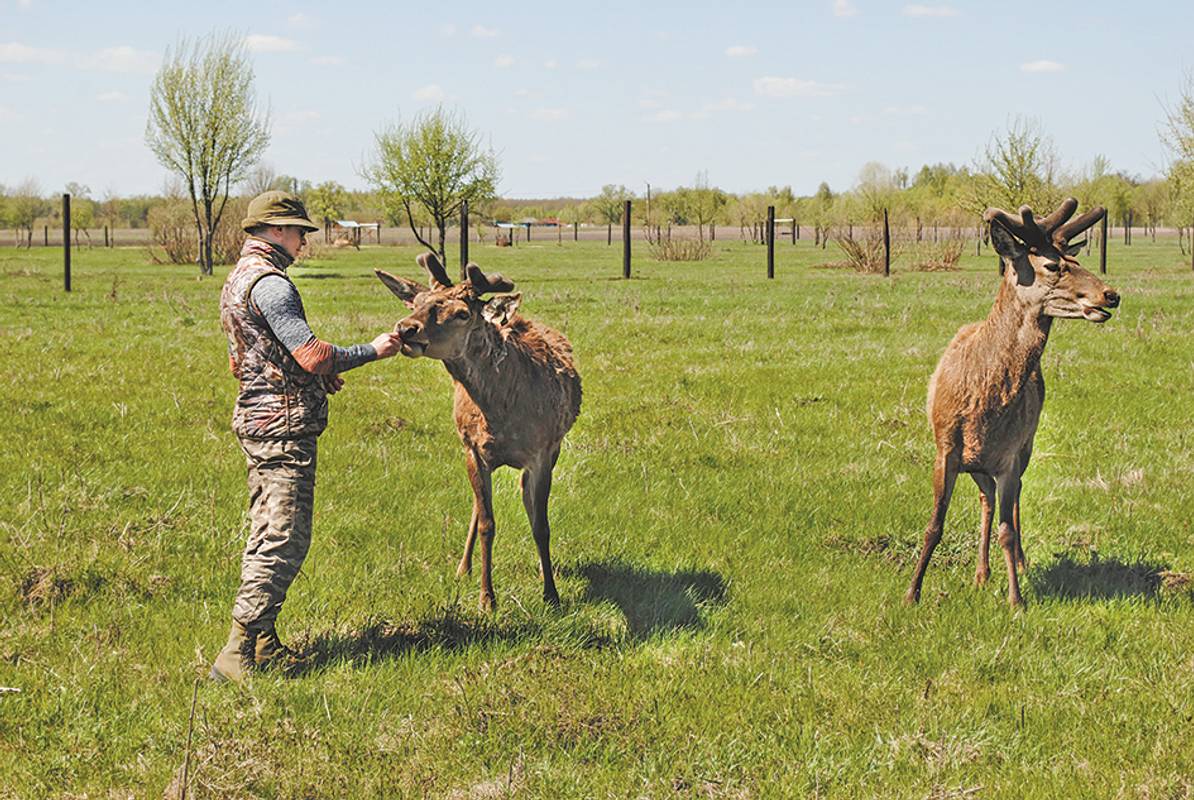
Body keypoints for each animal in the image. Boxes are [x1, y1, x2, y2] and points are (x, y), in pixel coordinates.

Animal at [372, 254, 577, 611]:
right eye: (418, 302)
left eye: (462, 313)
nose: (406, 328)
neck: (501, 415)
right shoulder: (474, 450)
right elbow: (486, 522)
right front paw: (487, 598)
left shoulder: (541, 452)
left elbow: (541, 525)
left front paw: (551, 594)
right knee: (478, 506)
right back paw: (463, 567)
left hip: (553, 449)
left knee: (526, 498)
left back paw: (541, 569)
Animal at [902, 199, 1117, 608]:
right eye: (1054, 265)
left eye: (1075, 259)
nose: (1110, 294)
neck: (983, 404)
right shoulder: (946, 447)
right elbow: (934, 525)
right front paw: (911, 592)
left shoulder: (1009, 456)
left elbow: (1007, 529)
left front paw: (1017, 599)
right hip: (979, 464)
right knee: (986, 500)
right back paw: (981, 574)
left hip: (1025, 448)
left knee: (1012, 504)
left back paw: (1016, 564)